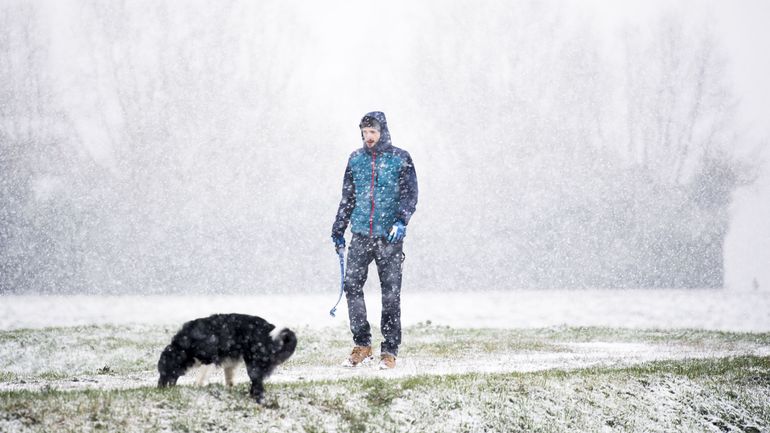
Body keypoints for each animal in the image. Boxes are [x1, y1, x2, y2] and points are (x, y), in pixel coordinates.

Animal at [155, 314, 294, 402]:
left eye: (164, 371)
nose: (159, 389)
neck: (185, 344)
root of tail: (270, 328)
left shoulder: (210, 359)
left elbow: (199, 378)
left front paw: (196, 388)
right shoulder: (229, 363)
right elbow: (229, 378)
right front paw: (229, 388)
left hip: (253, 363)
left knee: (257, 384)